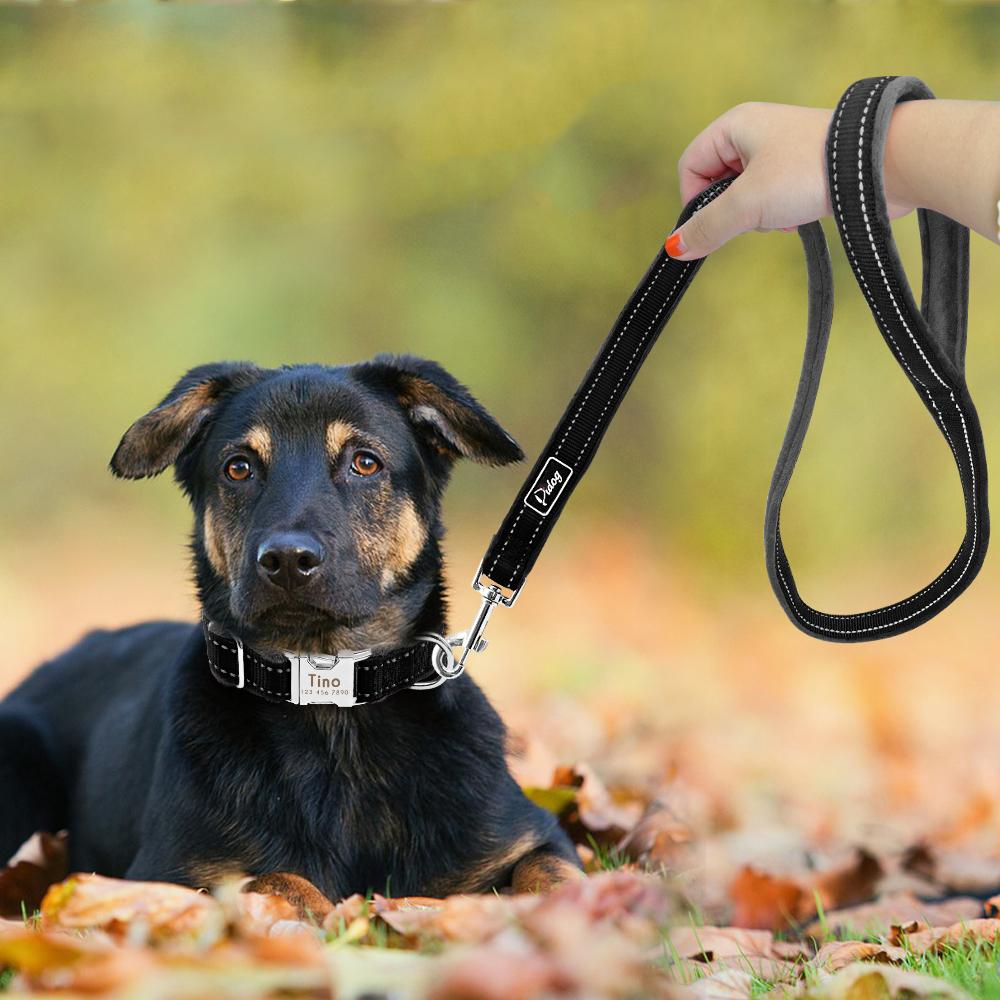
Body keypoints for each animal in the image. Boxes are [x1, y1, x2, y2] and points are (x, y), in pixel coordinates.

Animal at [0, 360, 584, 916]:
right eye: (238, 467)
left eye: (365, 462)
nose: (286, 560)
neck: (330, 699)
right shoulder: (164, 873)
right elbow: (275, 877)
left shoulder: (530, 836)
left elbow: (557, 874)